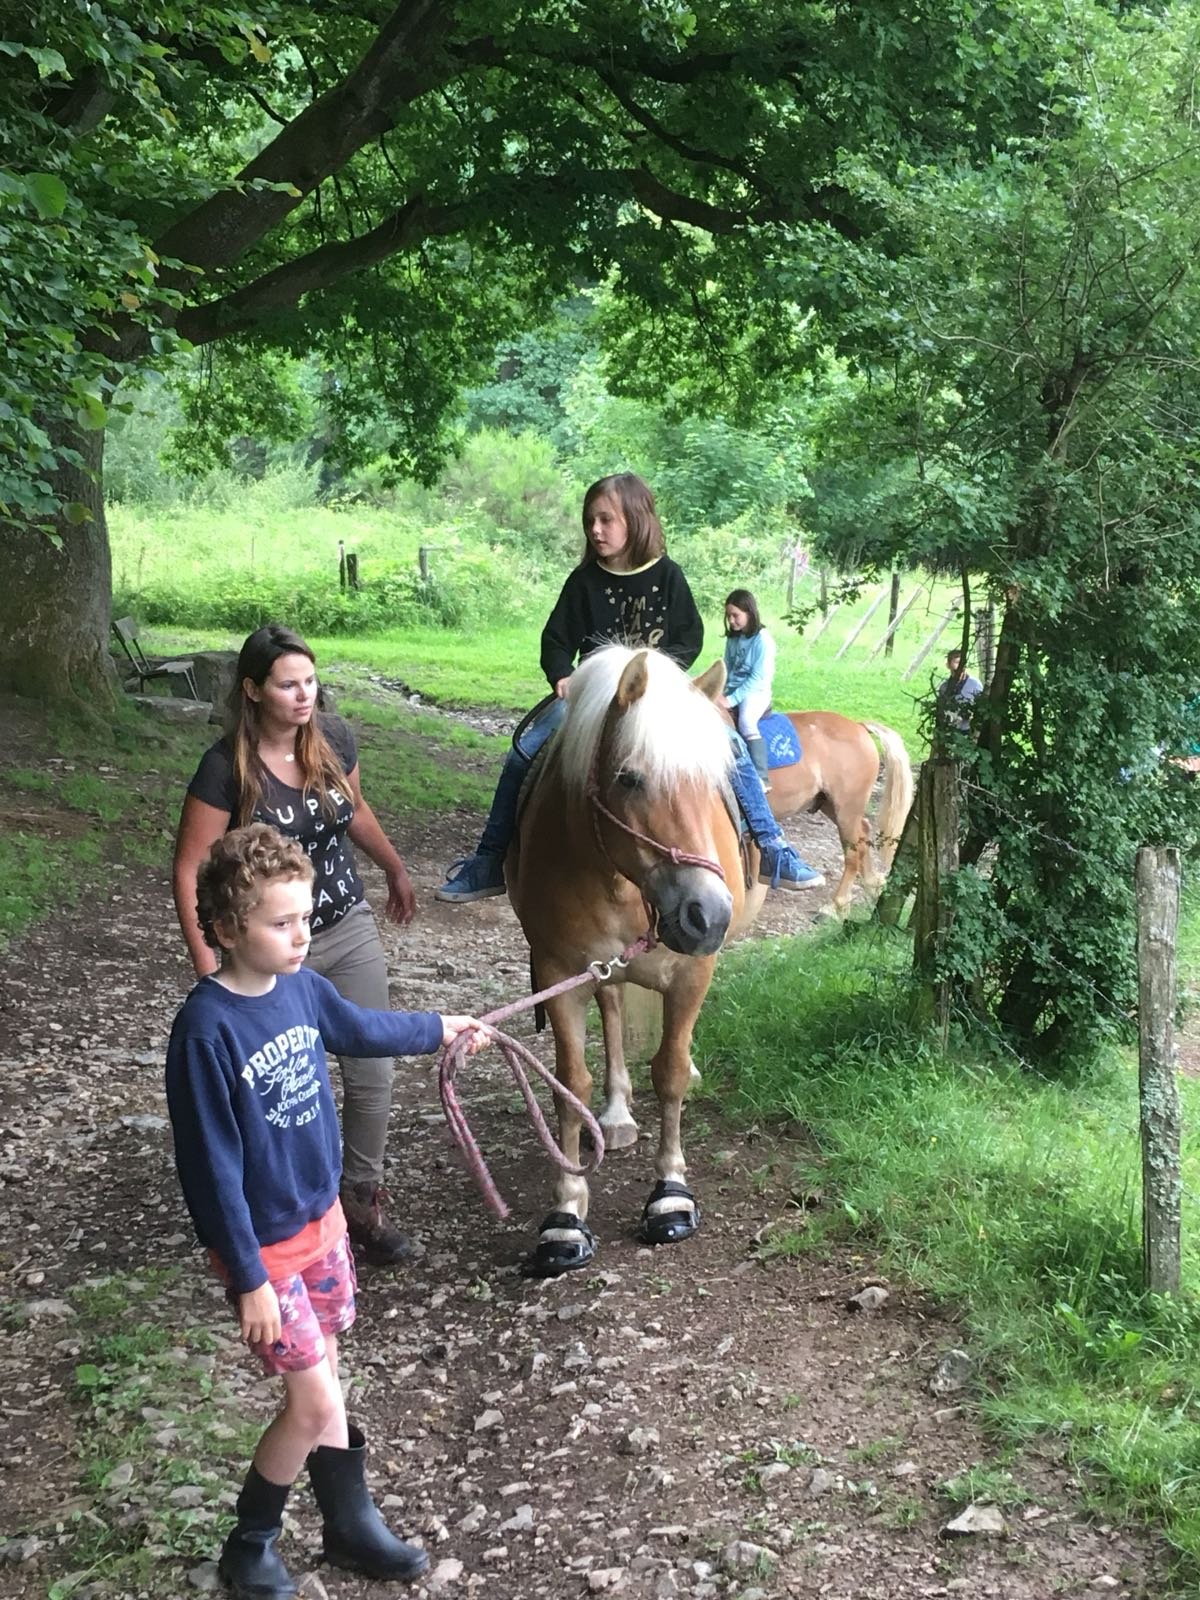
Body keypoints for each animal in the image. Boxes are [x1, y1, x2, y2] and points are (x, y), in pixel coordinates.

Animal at [506, 644, 765, 1278]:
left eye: (714, 782)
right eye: (629, 778)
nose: (707, 914)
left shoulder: (692, 972)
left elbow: (669, 1070)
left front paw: (670, 1193)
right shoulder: (558, 973)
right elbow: (570, 1083)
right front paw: (566, 1216)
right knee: (615, 1009)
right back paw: (618, 1112)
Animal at [752, 710, 914, 914]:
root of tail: (858, 726)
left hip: (846, 810)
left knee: (853, 853)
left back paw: (836, 905)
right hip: (832, 806)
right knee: (864, 832)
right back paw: (871, 883)